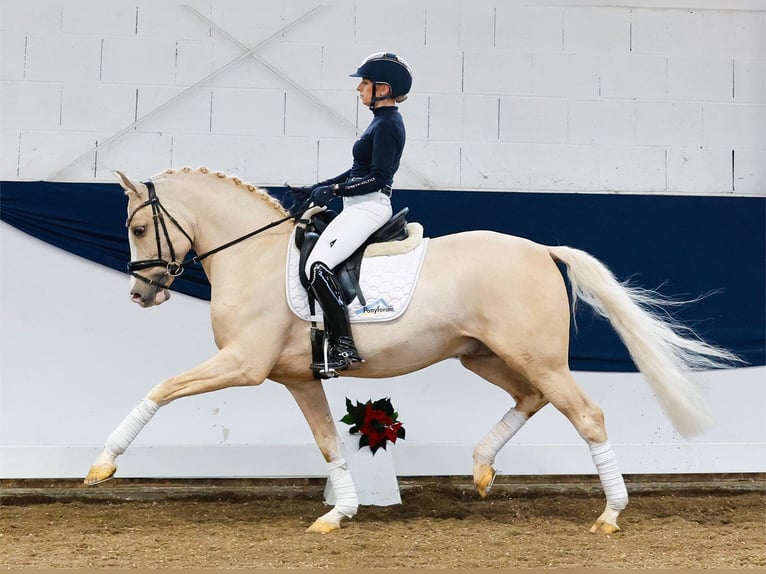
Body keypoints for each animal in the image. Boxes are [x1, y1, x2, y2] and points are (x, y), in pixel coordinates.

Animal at [87, 166, 740, 536]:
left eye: (139, 229)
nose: (141, 293)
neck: (254, 258)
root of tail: (540, 249)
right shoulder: (298, 378)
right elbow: (328, 442)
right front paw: (339, 514)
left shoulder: (243, 366)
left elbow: (161, 388)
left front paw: (103, 464)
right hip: (485, 355)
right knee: (530, 399)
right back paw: (481, 468)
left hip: (536, 358)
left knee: (587, 415)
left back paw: (610, 514)